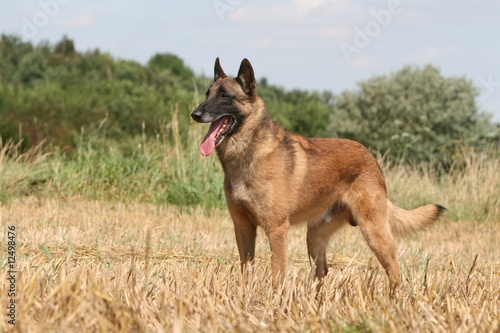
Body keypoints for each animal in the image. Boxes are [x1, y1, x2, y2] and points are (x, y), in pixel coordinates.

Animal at [191, 57, 446, 286]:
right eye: (207, 94)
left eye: (225, 96)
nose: (195, 114)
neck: (249, 152)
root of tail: (370, 156)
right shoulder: (243, 227)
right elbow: (246, 271)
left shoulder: (276, 230)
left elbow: (277, 275)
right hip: (314, 238)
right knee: (323, 271)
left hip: (375, 234)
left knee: (394, 271)